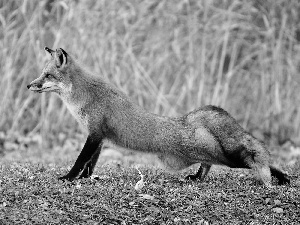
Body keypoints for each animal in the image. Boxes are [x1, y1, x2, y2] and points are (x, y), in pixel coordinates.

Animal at [27, 47, 290, 188]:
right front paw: (87, 178)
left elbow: (81, 160)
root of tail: (189, 121)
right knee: (210, 163)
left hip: (225, 157)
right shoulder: (99, 137)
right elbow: (90, 163)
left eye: (47, 75)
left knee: (249, 158)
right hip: (203, 153)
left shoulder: (94, 133)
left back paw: (278, 176)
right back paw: (198, 177)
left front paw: (69, 178)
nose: (29, 85)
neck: (83, 95)